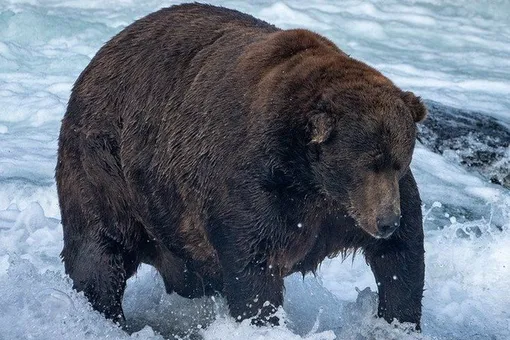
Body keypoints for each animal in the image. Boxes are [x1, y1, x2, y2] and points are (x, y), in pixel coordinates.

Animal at [55, 1, 426, 332]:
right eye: (366, 164)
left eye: (398, 162)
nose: (386, 221)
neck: (311, 179)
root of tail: (101, 54)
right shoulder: (257, 186)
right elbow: (253, 264)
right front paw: (263, 320)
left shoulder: (346, 210)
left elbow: (402, 256)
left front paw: (398, 320)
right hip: (107, 166)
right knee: (100, 249)